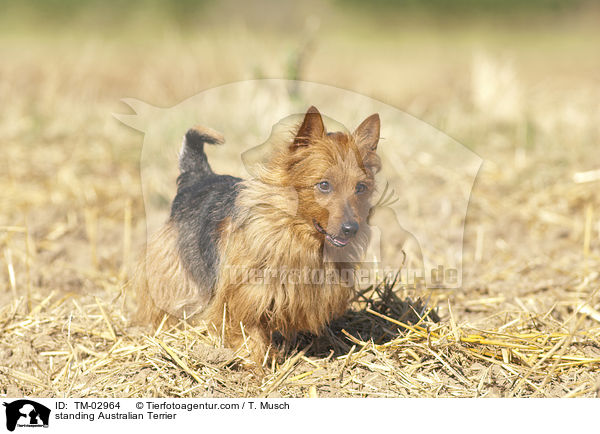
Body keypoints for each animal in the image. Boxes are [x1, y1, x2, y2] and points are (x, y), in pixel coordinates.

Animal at [134, 107, 382, 362]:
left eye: (360, 188)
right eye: (324, 185)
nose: (351, 228)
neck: (296, 234)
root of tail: (199, 177)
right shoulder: (243, 298)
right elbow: (249, 336)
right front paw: (257, 367)